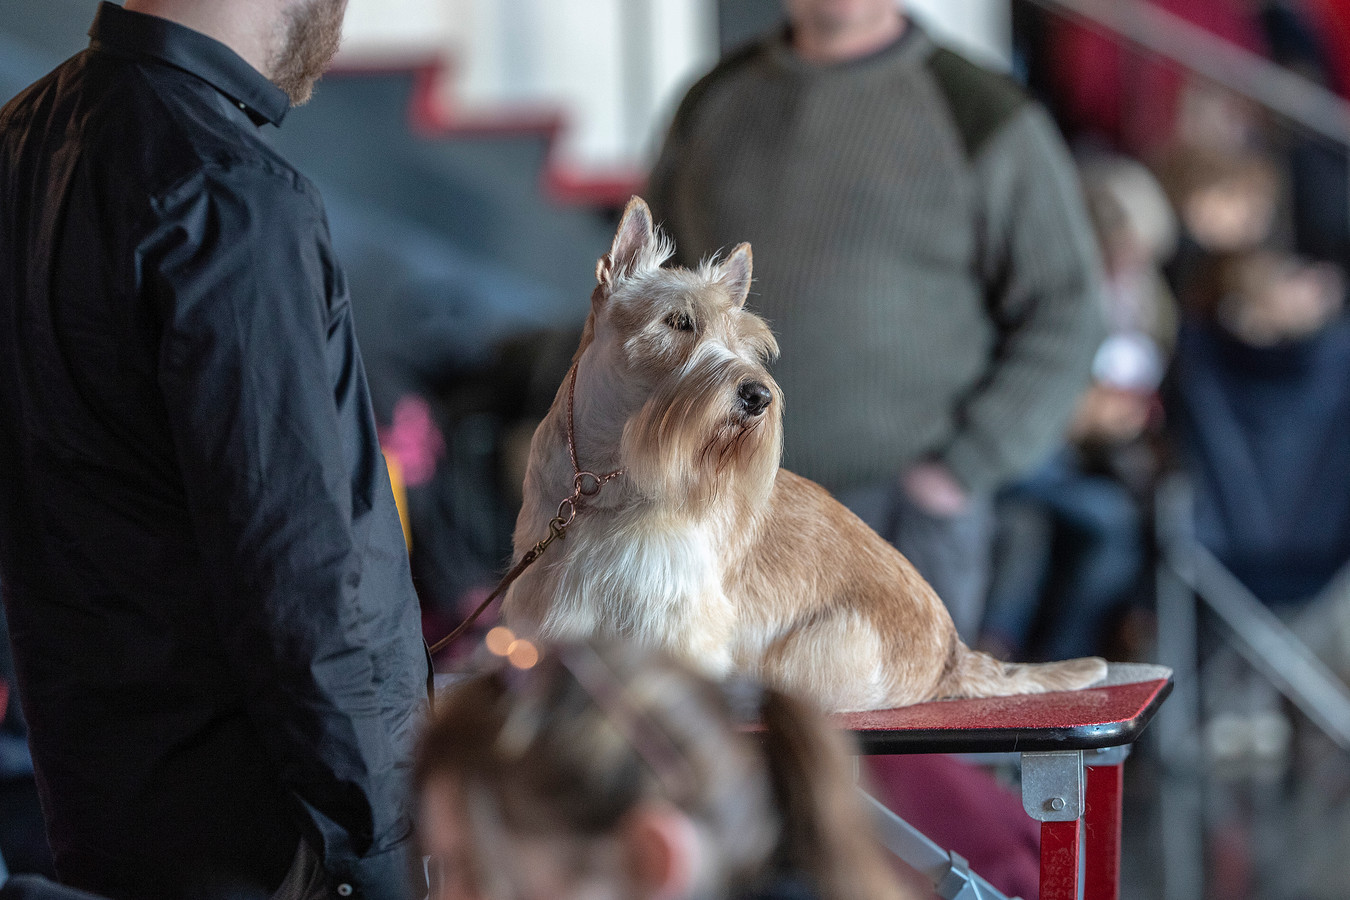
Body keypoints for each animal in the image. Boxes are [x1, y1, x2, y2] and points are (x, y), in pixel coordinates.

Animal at [507, 201, 1107, 712]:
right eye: (679, 322)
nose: (758, 395)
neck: (602, 474)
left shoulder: (675, 615)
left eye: (749, 344)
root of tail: (953, 657)